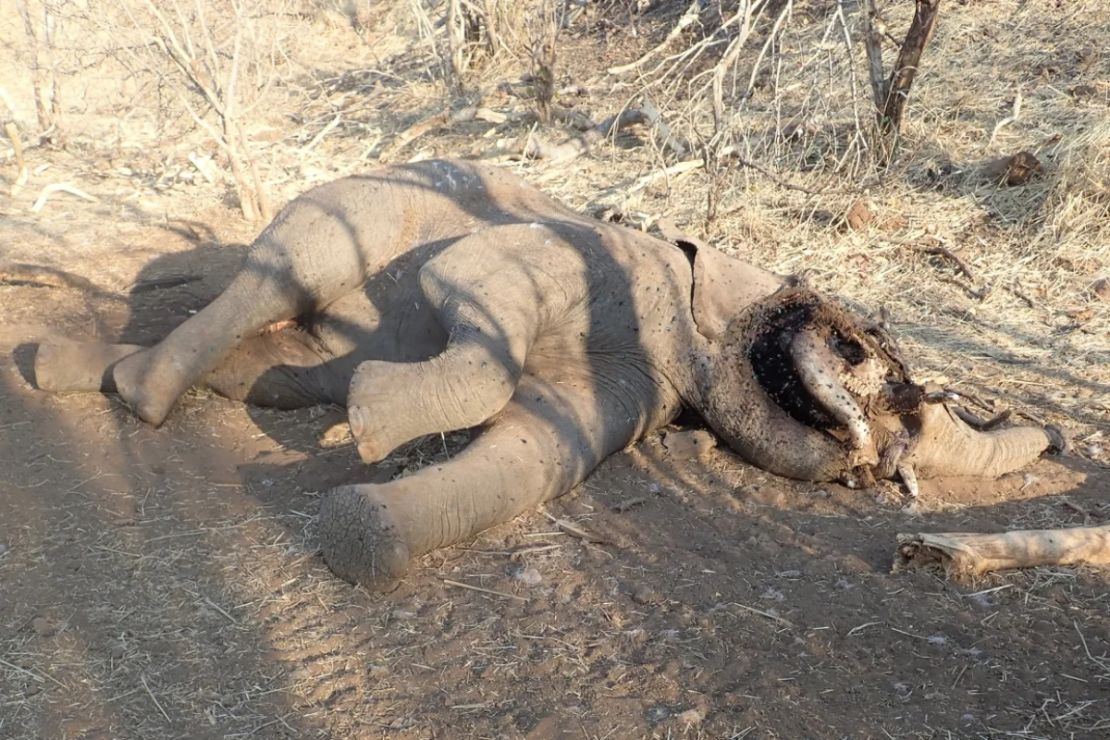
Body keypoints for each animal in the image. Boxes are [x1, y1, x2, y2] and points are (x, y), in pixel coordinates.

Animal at [30, 159, 1061, 585]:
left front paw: (360, 535)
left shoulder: (640, 391)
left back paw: (70, 370)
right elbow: (469, 288)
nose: (880, 469)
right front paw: (371, 426)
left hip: (302, 340)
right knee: (282, 278)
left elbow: (534, 456)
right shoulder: (600, 262)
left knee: (277, 373)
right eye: (864, 354)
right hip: (350, 205)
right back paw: (142, 397)